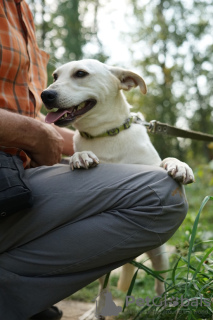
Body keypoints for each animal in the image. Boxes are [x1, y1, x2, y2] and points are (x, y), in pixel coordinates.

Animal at [42, 59, 195, 320]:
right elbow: (77, 154)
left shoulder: (150, 164)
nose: (46, 95)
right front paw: (80, 156)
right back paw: (97, 311)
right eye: (55, 76)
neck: (106, 135)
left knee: (160, 280)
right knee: (103, 288)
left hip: (159, 255)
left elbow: (166, 161)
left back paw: (163, 303)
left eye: (80, 73)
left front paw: (178, 164)